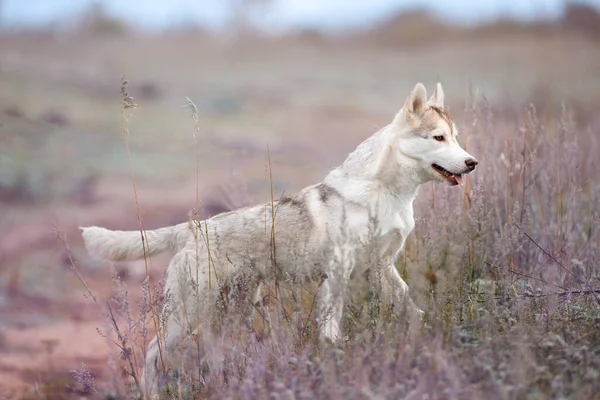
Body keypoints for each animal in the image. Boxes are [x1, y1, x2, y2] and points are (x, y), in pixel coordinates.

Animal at [79, 81, 478, 394]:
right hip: (184, 316)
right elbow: (331, 328)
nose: (472, 162)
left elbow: (412, 309)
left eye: (456, 138)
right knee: (151, 353)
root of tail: (194, 227)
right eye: (439, 138)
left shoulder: (380, 269)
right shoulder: (338, 272)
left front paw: (425, 337)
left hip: (228, 313)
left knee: (210, 351)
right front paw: (335, 353)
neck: (388, 194)